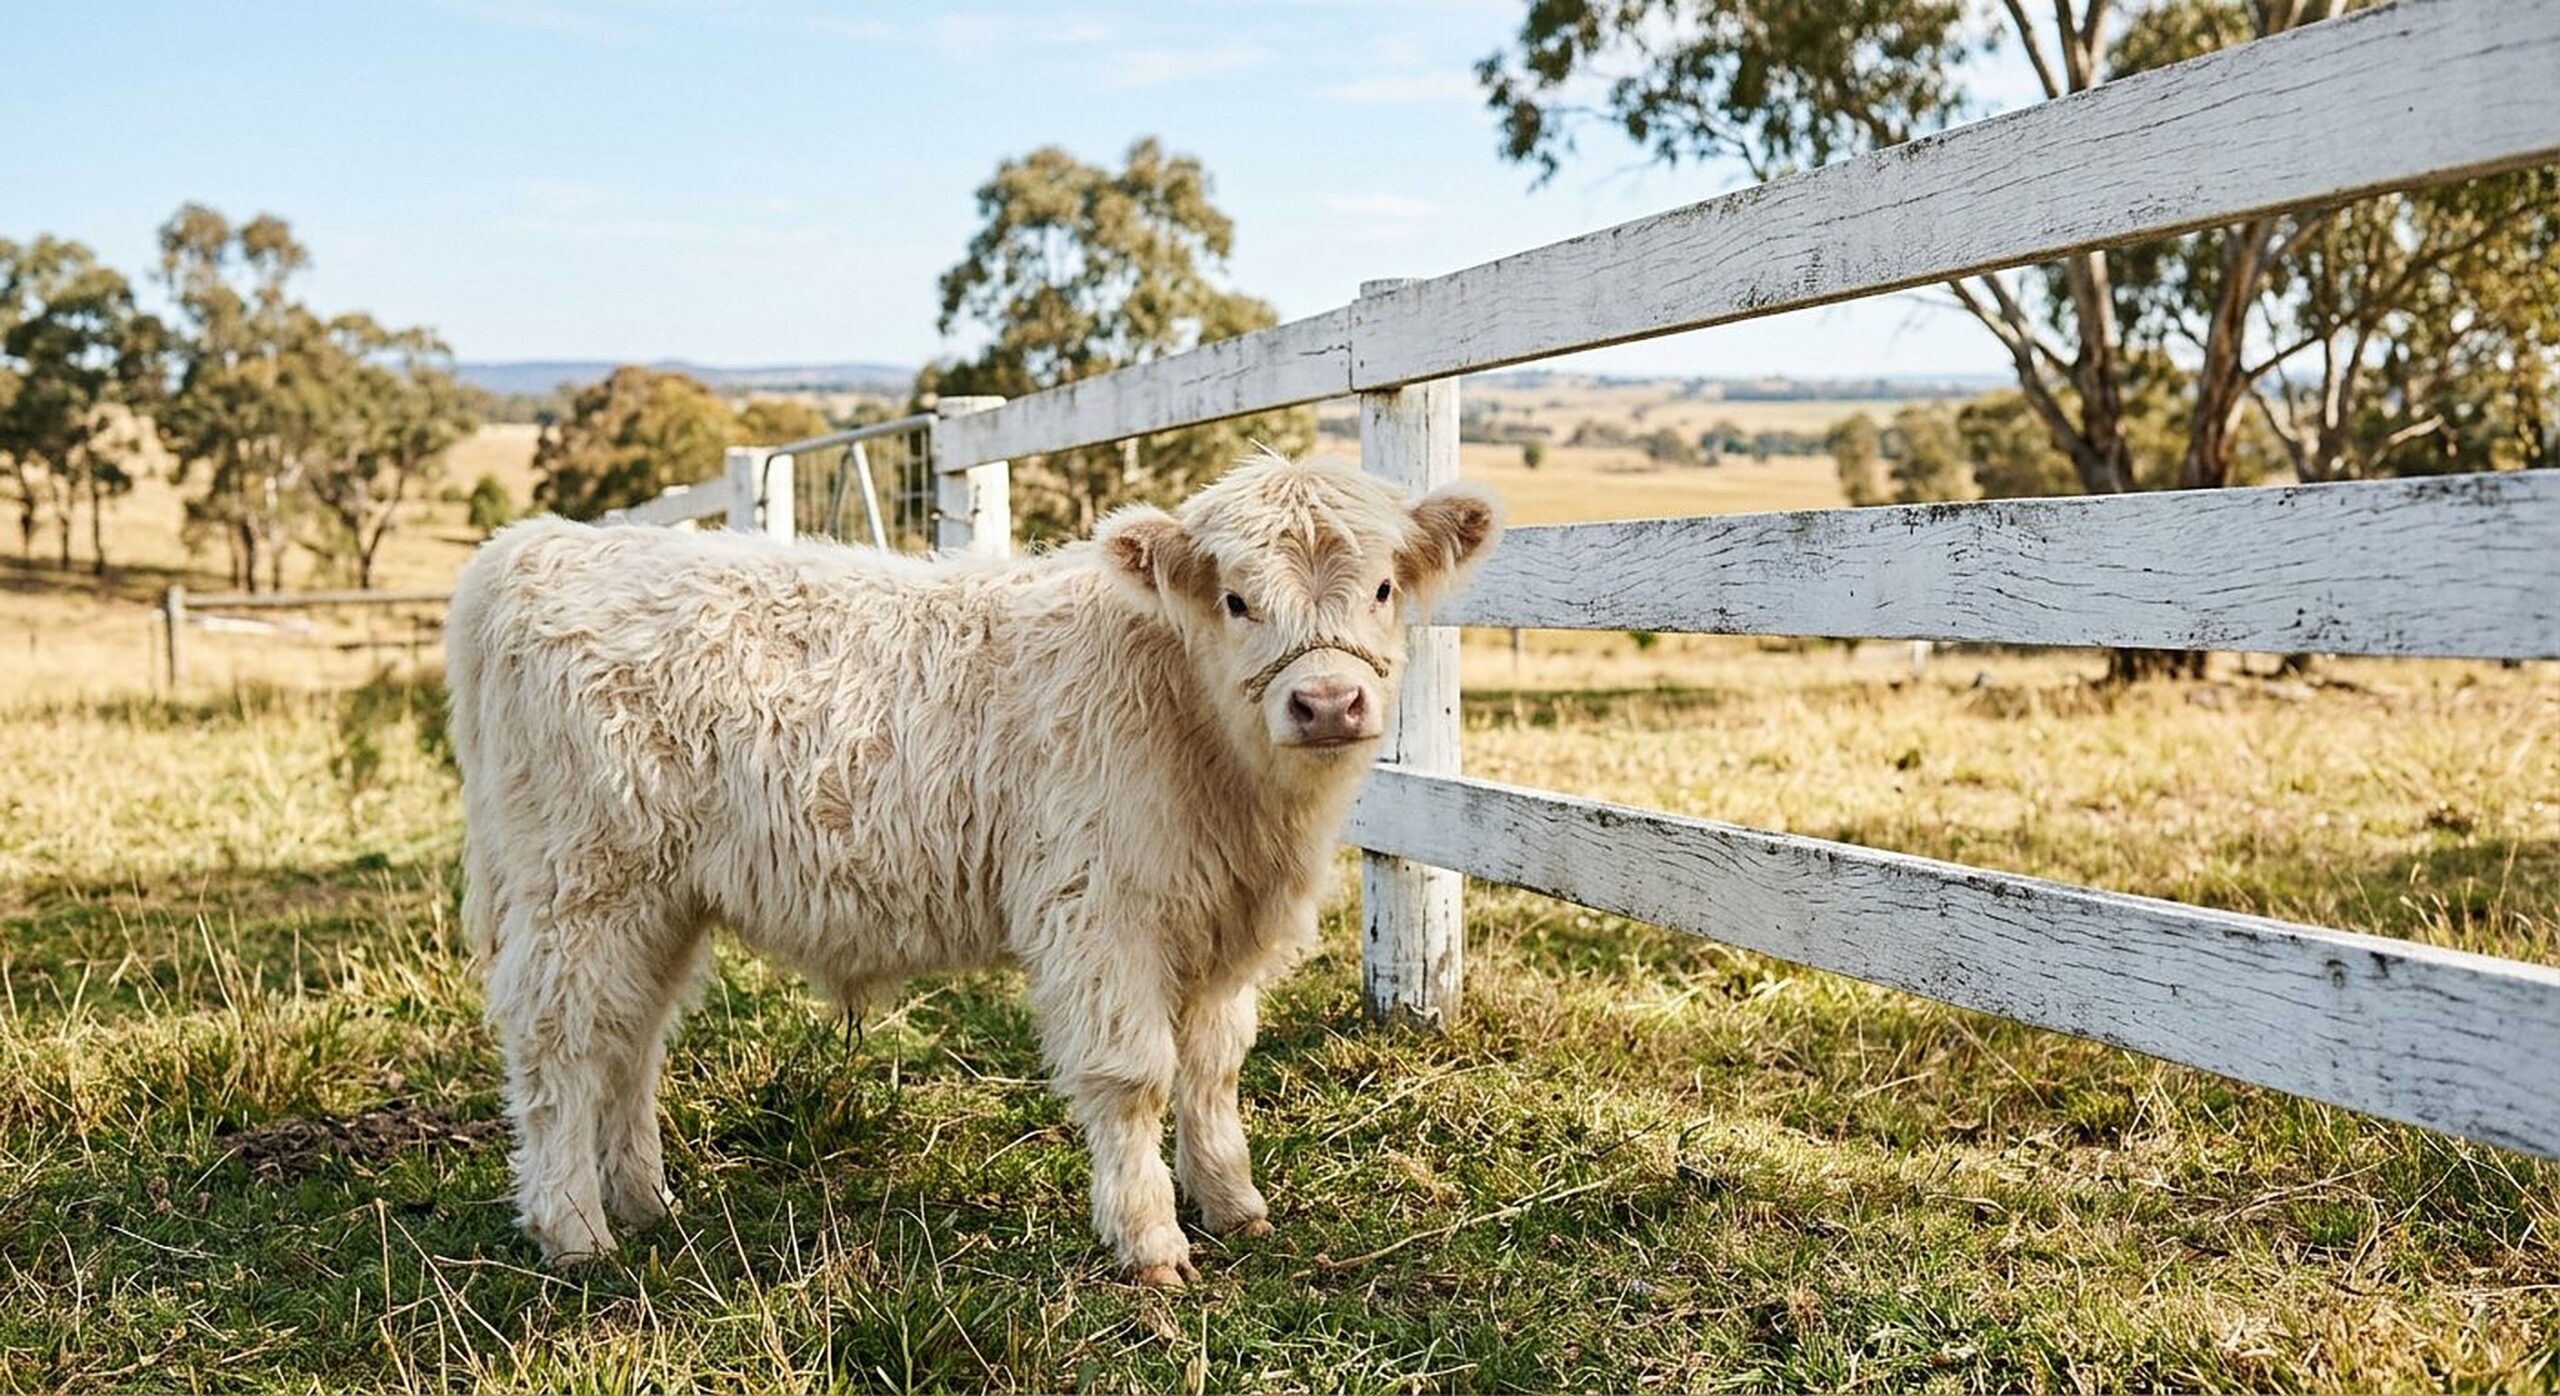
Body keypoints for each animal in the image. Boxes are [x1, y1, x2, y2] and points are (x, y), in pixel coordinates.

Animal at [445, 451, 1501, 1286]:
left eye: (1382, 590)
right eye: (1239, 601)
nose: (1326, 703)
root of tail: (544, 547)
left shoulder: (1217, 930)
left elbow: (1212, 1072)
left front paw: (1234, 1203)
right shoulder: (1100, 913)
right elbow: (1136, 1077)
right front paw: (1151, 1243)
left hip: (662, 901)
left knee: (630, 1041)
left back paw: (643, 1201)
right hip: (583, 886)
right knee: (559, 1047)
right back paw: (574, 1229)